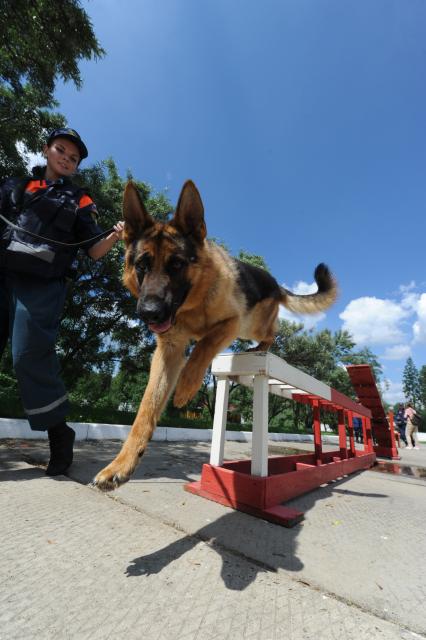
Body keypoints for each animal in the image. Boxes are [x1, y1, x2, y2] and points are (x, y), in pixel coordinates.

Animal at [92, 180, 336, 490]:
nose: (149, 314)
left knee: (273, 331)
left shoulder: (230, 323)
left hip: (250, 325)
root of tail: (275, 283)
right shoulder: (168, 352)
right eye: (142, 265)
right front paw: (120, 465)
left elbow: (203, 347)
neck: (191, 306)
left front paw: (186, 387)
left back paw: (261, 346)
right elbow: (146, 410)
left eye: (177, 265)